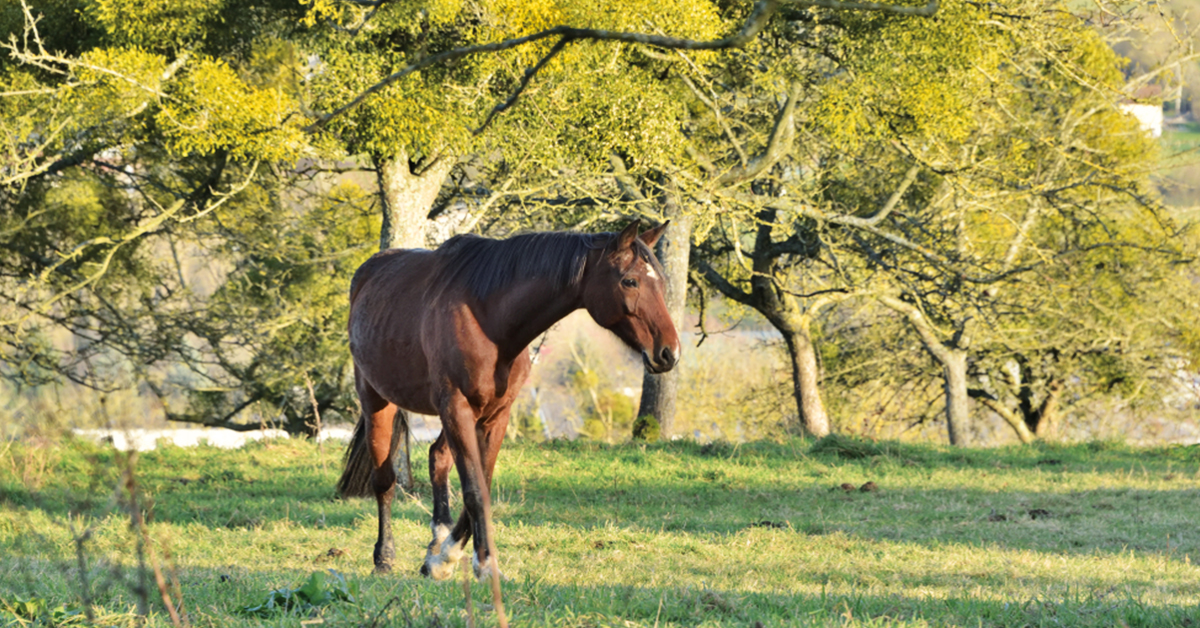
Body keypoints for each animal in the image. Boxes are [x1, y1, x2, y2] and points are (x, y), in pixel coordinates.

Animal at [338, 220, 681, 581]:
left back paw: (436, 543)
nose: (669, 353)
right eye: (630, 280)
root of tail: (368, 272)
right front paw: (485, 565)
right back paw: (384, 557)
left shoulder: (495, 414)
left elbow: (482, 485)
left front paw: (447, 558)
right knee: (384, 480)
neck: (489, 319)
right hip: (377, 399)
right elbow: (474, 490)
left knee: (437, 458)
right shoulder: (457, 407)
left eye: (661, 281)